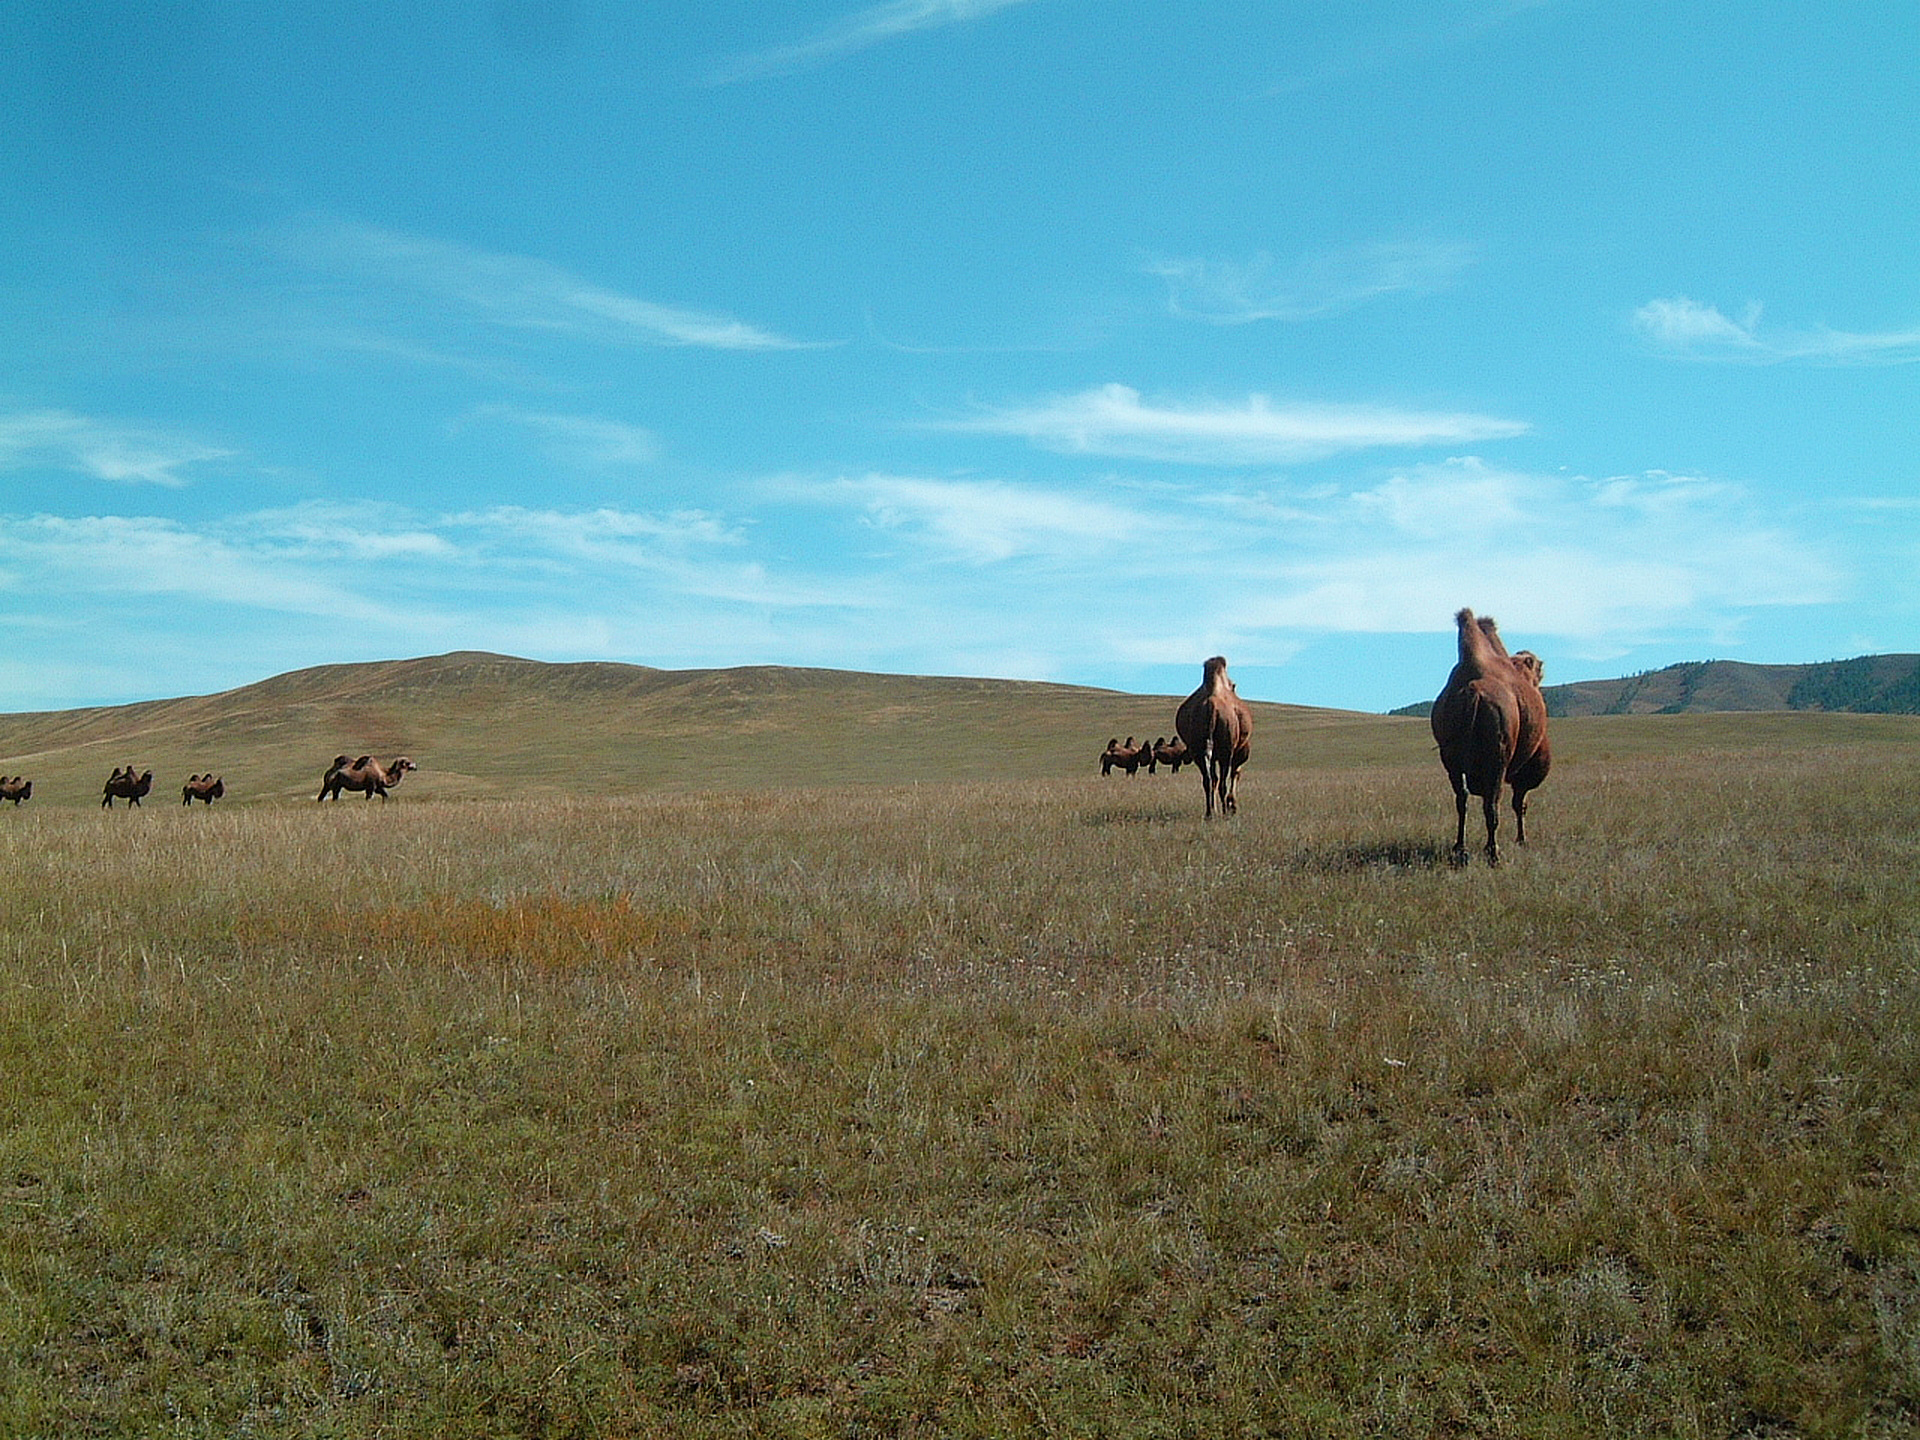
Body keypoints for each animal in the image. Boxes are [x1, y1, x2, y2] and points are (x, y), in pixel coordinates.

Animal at [1175, 656, 1251, 817]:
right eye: (1234, 685)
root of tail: (1211, 706)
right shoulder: (1238, 751)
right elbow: (1235, 774)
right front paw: (1232, 805)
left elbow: (1214, 779)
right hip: (1226, 750)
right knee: (1223, 781)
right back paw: (1225, 811)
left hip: (1197, 750)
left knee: (1208, 780)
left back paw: (1210, 813)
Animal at [1436, 610, 1551, 867]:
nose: (1542, 667)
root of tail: (1472, 691)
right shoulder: (1526, 766)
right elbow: (1520, 803)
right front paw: (1522, 840)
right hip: (1498, 756)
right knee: (1492, 803)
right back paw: (1493, 853)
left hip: (1450, 758)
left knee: (1462, 798)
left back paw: (1460, 849)